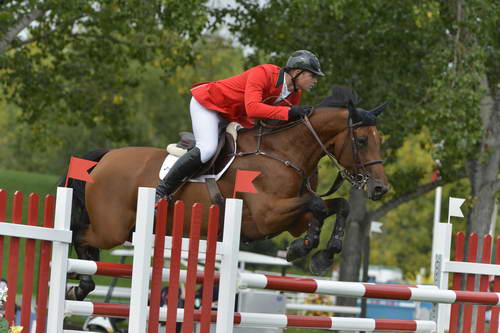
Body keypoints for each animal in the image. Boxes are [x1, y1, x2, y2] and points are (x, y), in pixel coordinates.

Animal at [63, 84, 390, 300]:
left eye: (379, 140)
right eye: (362, 140)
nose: (380, 188)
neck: (284, 152)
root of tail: (106, 157)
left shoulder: (291, 218)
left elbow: (338, 205)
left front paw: (320, 254)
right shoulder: (268, 216)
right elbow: (319, 205)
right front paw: (304, 248)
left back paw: (81, 282)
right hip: (112, 228)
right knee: (80, 234)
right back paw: (81, 283)